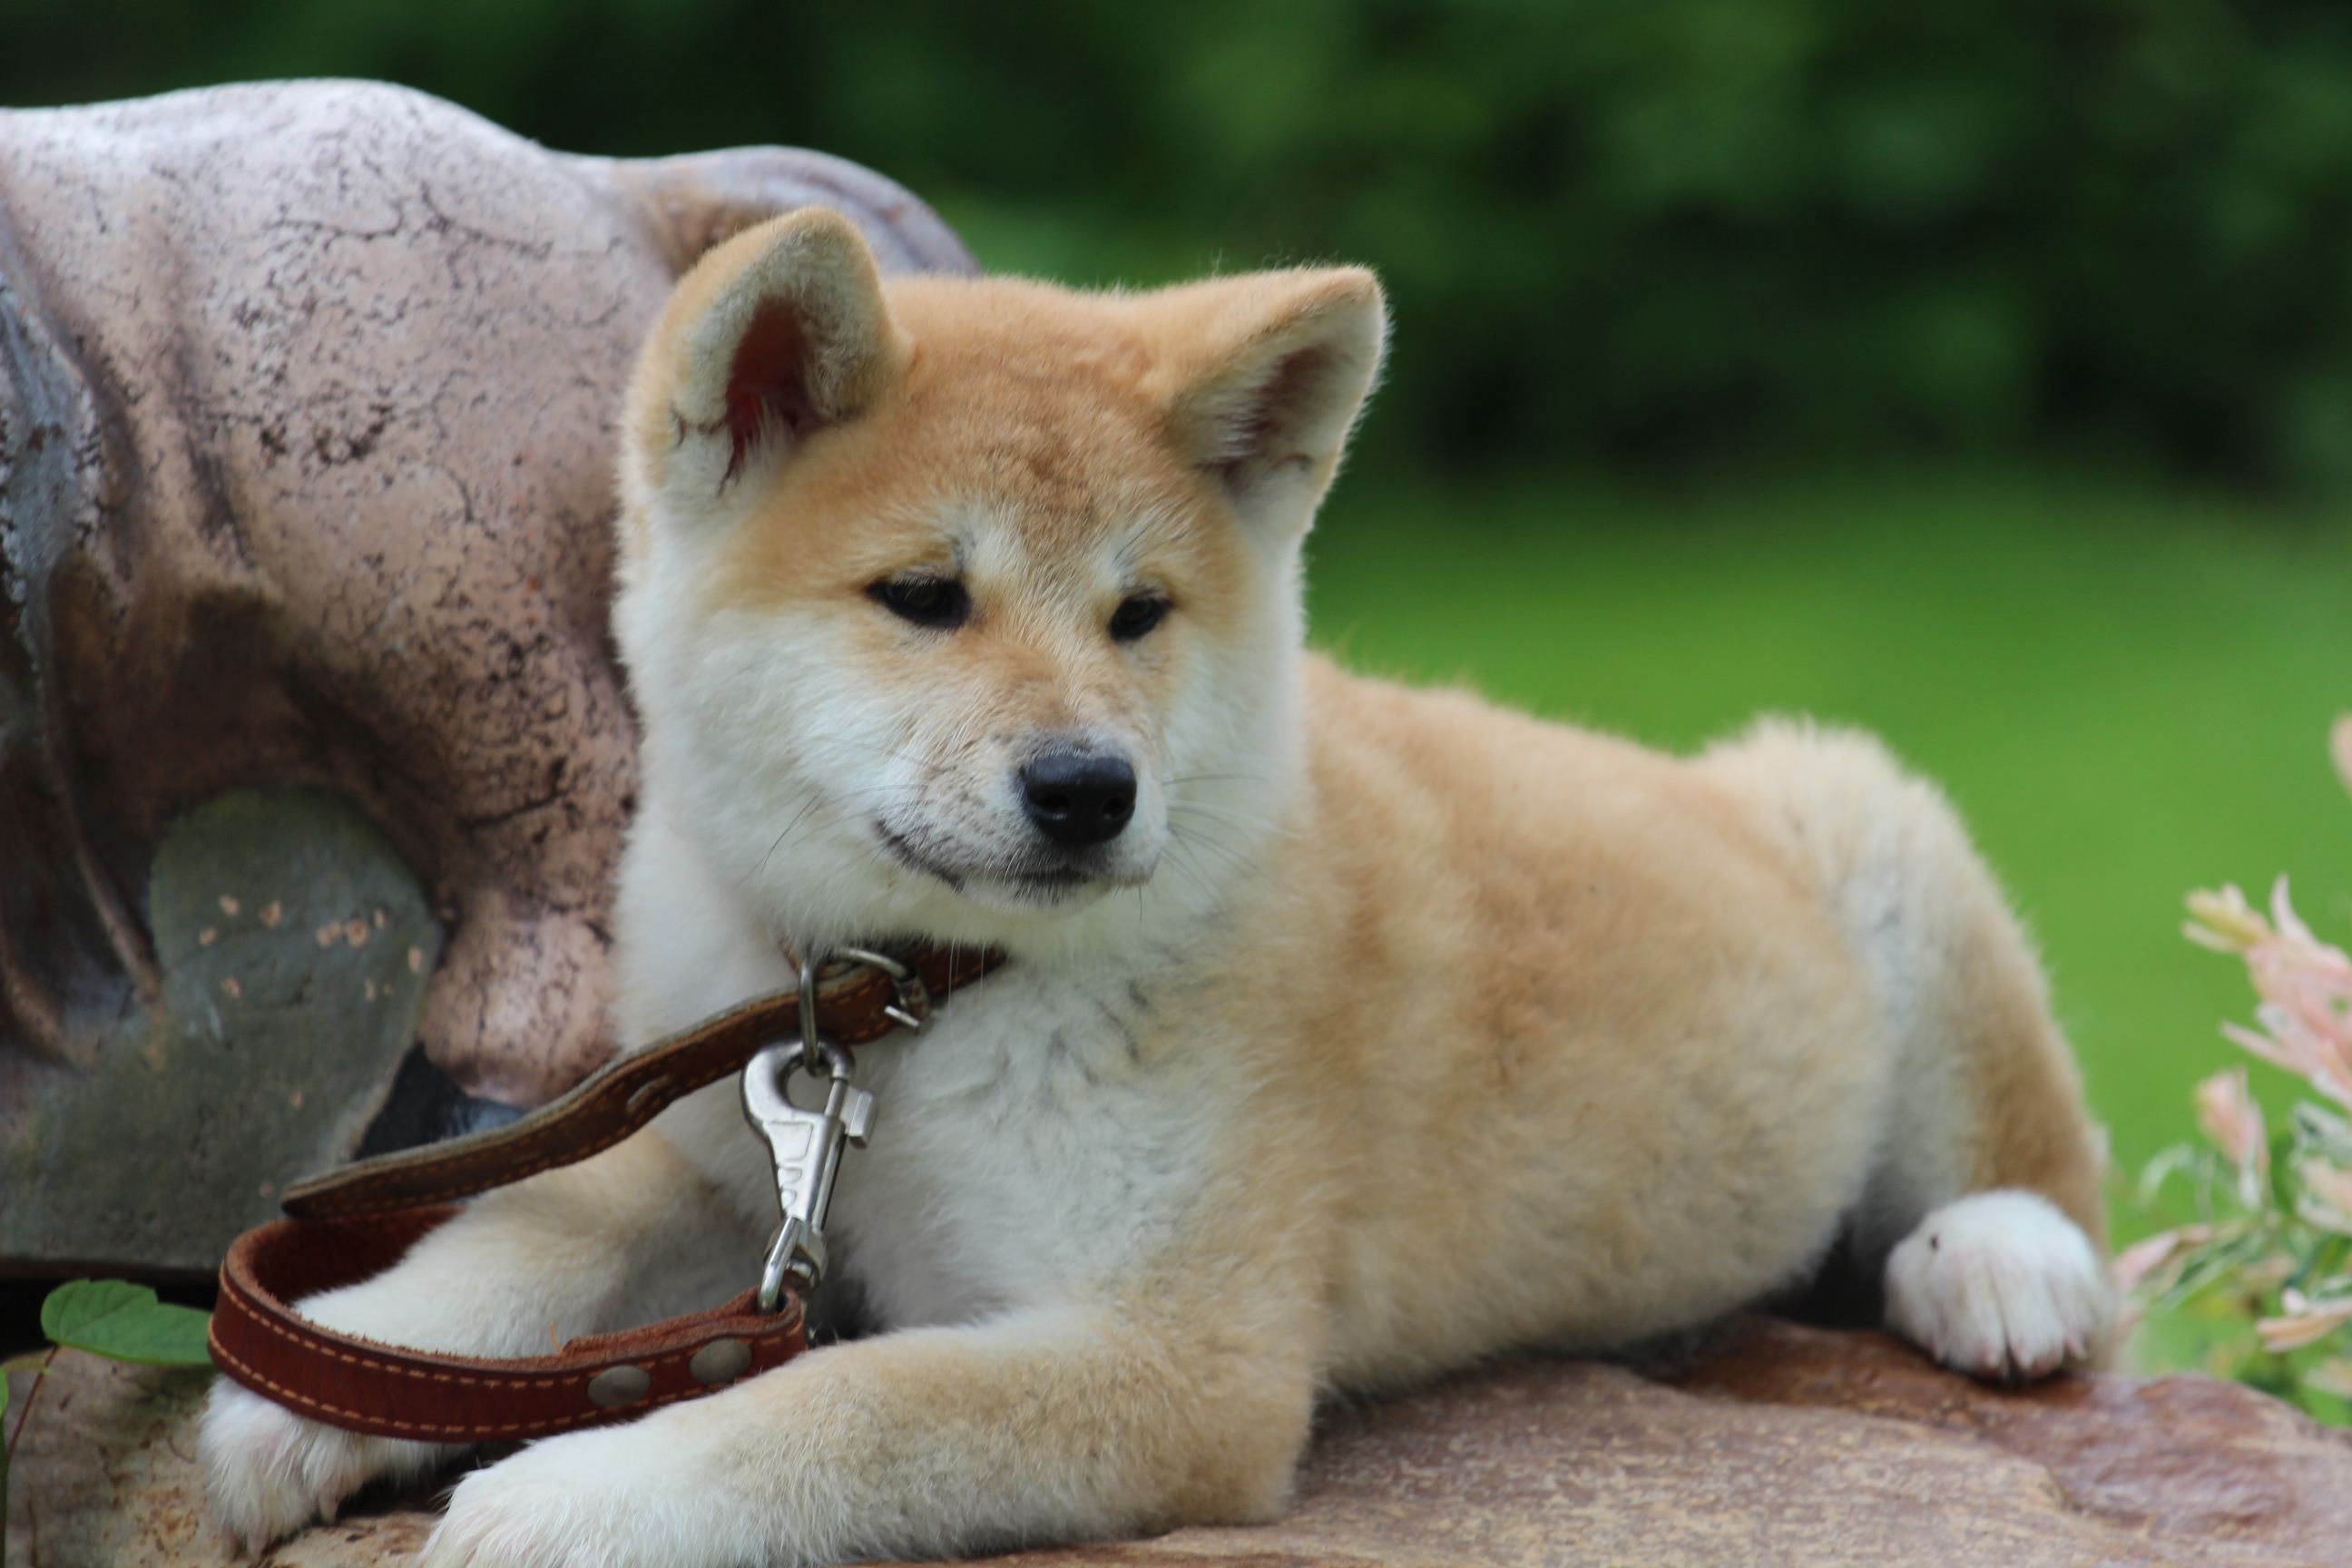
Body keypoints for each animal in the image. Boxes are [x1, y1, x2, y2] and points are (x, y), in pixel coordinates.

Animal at [201, 211, 2116, 1568]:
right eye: (923, 596)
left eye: (1139, 615)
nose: (1085, 787)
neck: (912, 1003)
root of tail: (1701, 779)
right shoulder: (704, 1152)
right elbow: (514, 1243)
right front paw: (310, 1382)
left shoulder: (1174, 1357)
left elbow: (839, 1402)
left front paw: (578, 1491)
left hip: (1863, 810)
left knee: (2037, 1151)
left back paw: (1997, 1265)